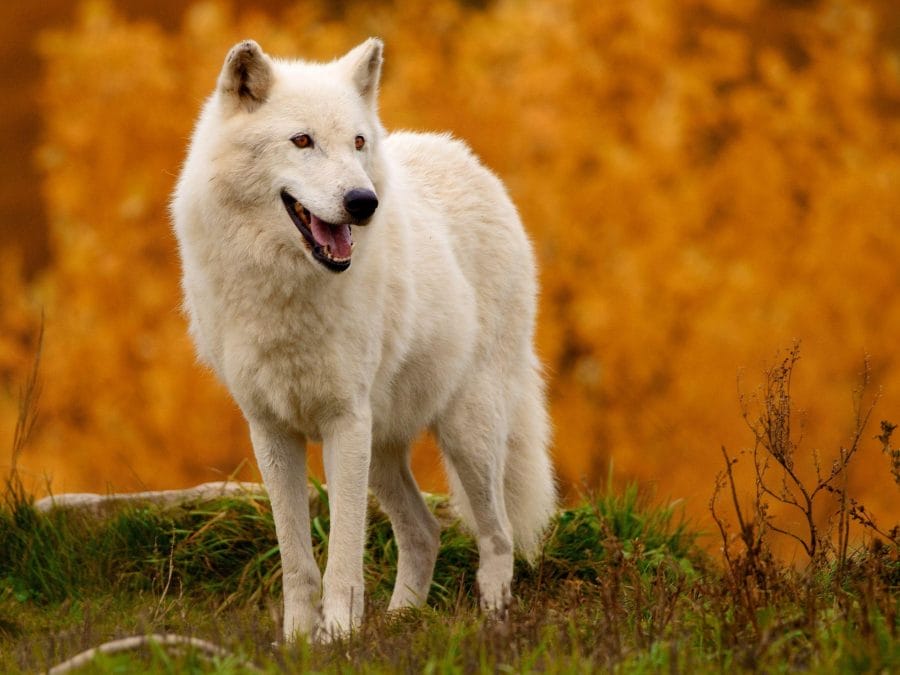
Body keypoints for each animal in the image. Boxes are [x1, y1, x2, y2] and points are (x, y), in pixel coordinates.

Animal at [166, 39, 552, 640]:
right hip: (384, 449)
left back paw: (492, 625)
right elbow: (297, 560)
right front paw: (300, 640)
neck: (287, 289)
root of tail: (469, 160)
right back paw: (400, 622)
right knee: (424, 531)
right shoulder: (270, 429)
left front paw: (341, 637)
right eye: (302, 140)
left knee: (498, 535)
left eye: (357, 142)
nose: (362, 202)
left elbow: (344, 554)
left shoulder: (344, 421)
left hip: (466, 431)